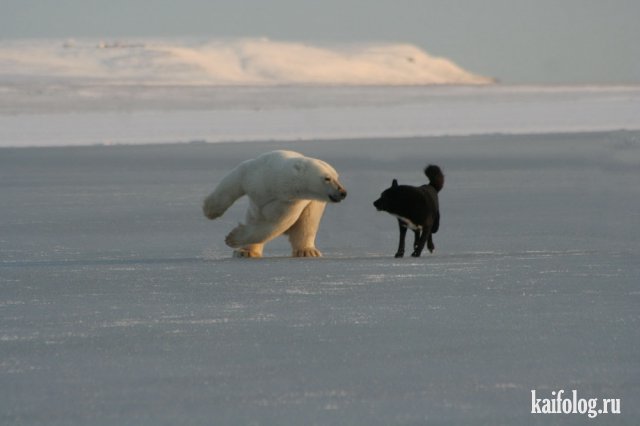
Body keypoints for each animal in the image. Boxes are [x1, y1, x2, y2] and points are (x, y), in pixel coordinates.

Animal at [202, 150, 348, 256]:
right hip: (254, 210)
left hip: (314, 204)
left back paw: (307, 251)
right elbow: (235, 180)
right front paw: (209, 210)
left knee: (307, 224)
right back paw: (245, 252)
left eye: (337, 177)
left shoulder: (291, 202)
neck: (280, 183)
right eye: (327, 178)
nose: (343, 192)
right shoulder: (258, 174)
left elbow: (274, 224)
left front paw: (232, 238)